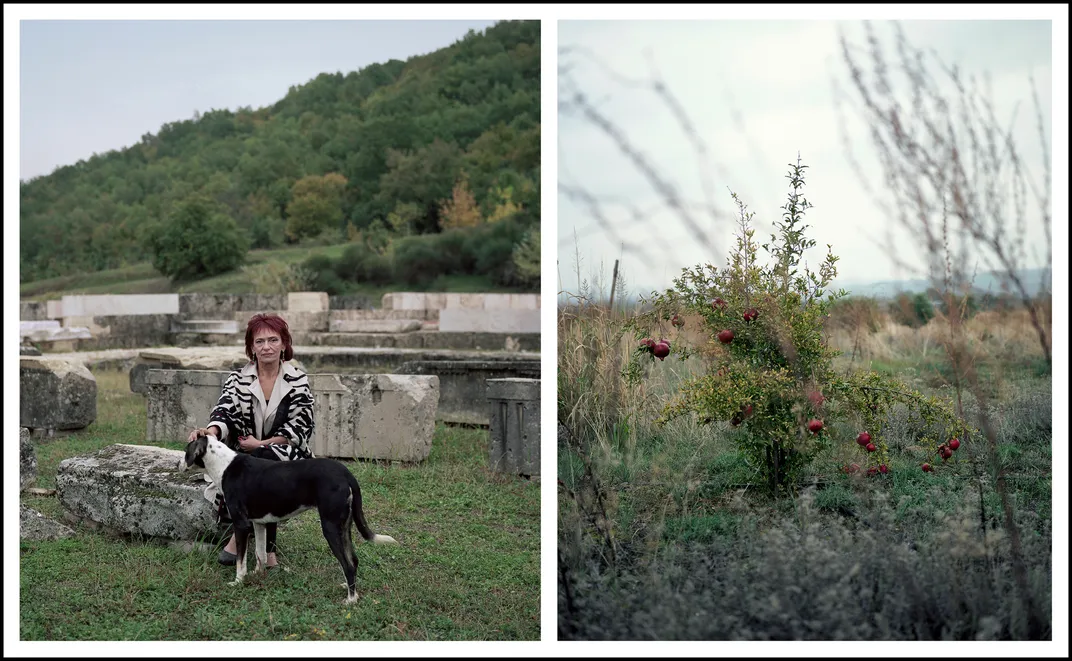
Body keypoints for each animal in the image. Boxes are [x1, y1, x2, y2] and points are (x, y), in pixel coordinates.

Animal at [180, 432, 398, 604]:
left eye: (186, 450)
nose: (180, 463)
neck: (224, 465)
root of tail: (346, 473)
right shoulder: (258, 523)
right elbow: (260, 553)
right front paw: (258, 574)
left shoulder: (241, 524)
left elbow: (241, 561)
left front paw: (238, 581)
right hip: (344, 527)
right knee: (353, 560)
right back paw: (348, 587)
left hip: (330, 527)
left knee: (348, 565)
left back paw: (351, 600)